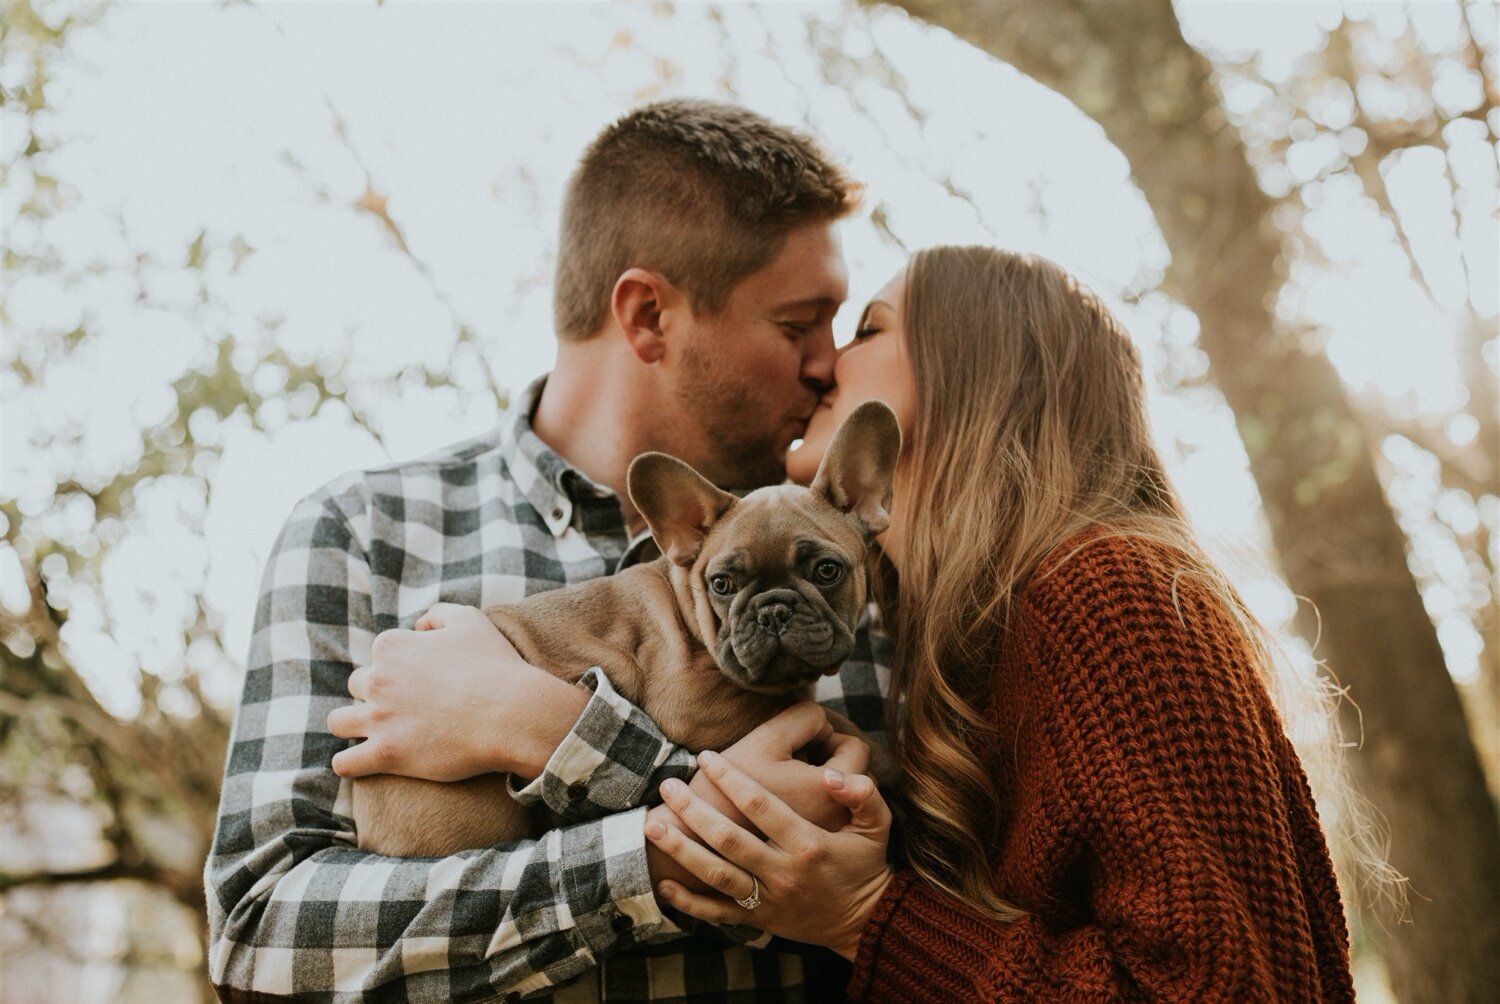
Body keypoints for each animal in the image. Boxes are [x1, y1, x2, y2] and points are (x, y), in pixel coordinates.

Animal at [355, 399, 894, 852]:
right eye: (721, 584)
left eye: (827, 571)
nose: (773, 609)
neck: (687, 606)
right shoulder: (693, 706)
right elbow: (822, 714)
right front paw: (878, 755)